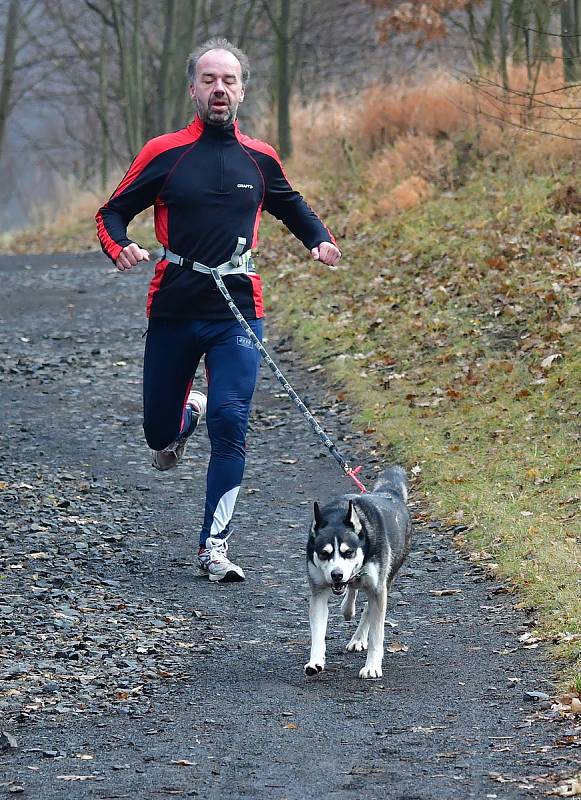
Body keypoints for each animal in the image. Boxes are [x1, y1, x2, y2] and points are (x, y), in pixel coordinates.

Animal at [306, 466, 410, 680]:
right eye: (324, 553)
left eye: (348, 552)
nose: (336, 574)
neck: (338, 515)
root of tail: (390, 493)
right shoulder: (319, 593)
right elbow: (318, 633)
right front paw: (315, 661)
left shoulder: (378, 590)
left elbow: (376, 635)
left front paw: (372, 666)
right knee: (353, 589)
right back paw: (348, 608)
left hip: (385, 580)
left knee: (368, 608)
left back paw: (358, 637)